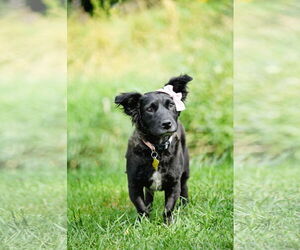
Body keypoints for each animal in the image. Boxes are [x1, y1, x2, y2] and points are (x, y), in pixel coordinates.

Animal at [115, 74, 192, 223]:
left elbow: (168, 208)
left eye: (171, 105)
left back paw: (184, 206)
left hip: (185, 171)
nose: (167, 124)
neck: (157, 149)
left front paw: (168, 224)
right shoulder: (134, 183)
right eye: (149, 109)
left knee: (184, 188)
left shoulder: (174, 183)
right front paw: (144, 223)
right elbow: (141, 206)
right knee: (149, 196)